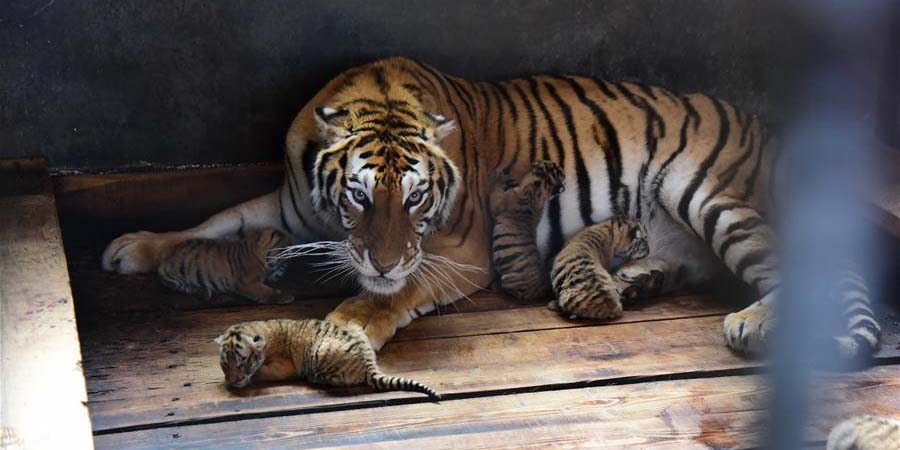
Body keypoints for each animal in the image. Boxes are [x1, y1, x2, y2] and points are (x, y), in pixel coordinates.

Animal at [157, 228, 295, 304]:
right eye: (286, 249)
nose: (287, 268)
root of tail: (166, 258)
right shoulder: (248, 283)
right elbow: (265, 291)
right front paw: (285, 297)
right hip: (175, 273)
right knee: (179, 286)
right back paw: (204, 292)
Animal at [214, 319, 440, 399]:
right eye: (224, 364)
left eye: (243, 361)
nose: (232, 382)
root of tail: (369, 363)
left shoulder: (282, 366)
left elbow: (259, 373)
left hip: (320, 352)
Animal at [488, 159, 565, 302]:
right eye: (550, 164)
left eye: (545, 165)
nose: (536, 160)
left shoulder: (499, 202)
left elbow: (494, 189)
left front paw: (498, 173)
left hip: (509, 279)